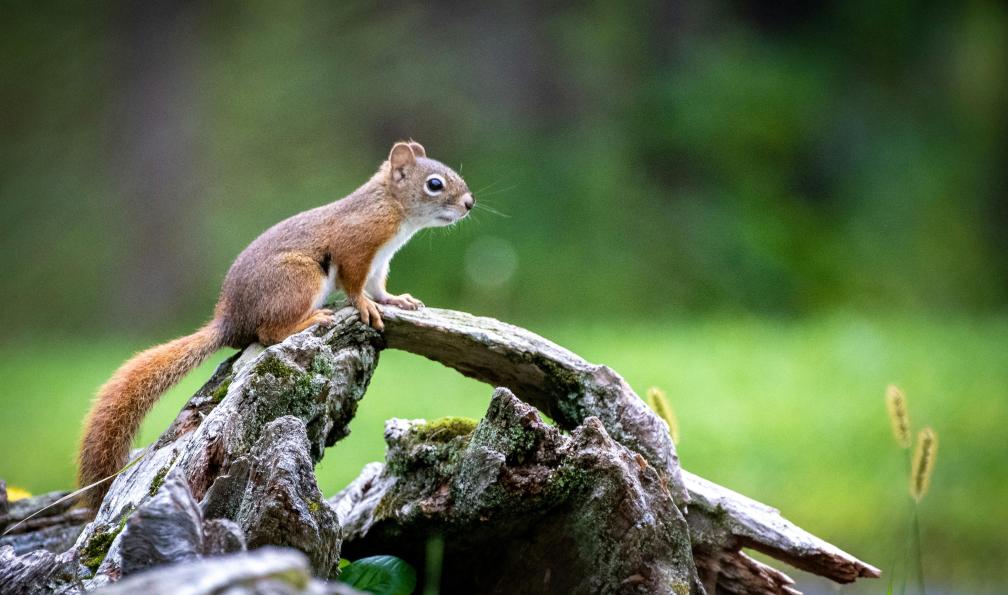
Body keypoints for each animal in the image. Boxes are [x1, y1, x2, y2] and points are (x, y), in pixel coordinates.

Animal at [78, 140, 474, 508]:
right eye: (434, 184)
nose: (469, 203)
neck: (392, 205)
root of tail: (230, 319)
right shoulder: (357, 245)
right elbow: (355, 286)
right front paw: (364, 306)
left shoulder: (378, 265)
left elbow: (378, 288)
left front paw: (396, 300)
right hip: (300, 278)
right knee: (268, 333)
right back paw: (310, 319)